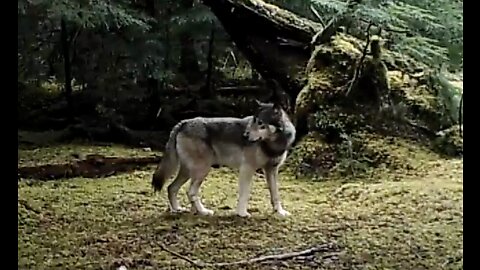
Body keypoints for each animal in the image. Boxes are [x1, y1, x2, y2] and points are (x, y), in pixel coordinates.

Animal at [153, 100, 296, 217]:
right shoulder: (247, 168)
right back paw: (204, 211)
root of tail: (183, 123)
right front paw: (242, 213)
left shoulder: (272, 170)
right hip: (202, 170)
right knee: (190, 192)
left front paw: (280, 212)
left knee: (171, 188)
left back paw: (177, 209)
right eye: (253, 121)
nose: (245, 136)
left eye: (260, 123)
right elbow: (245, 194)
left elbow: (276, 194)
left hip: (188, 172)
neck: (272, 143)